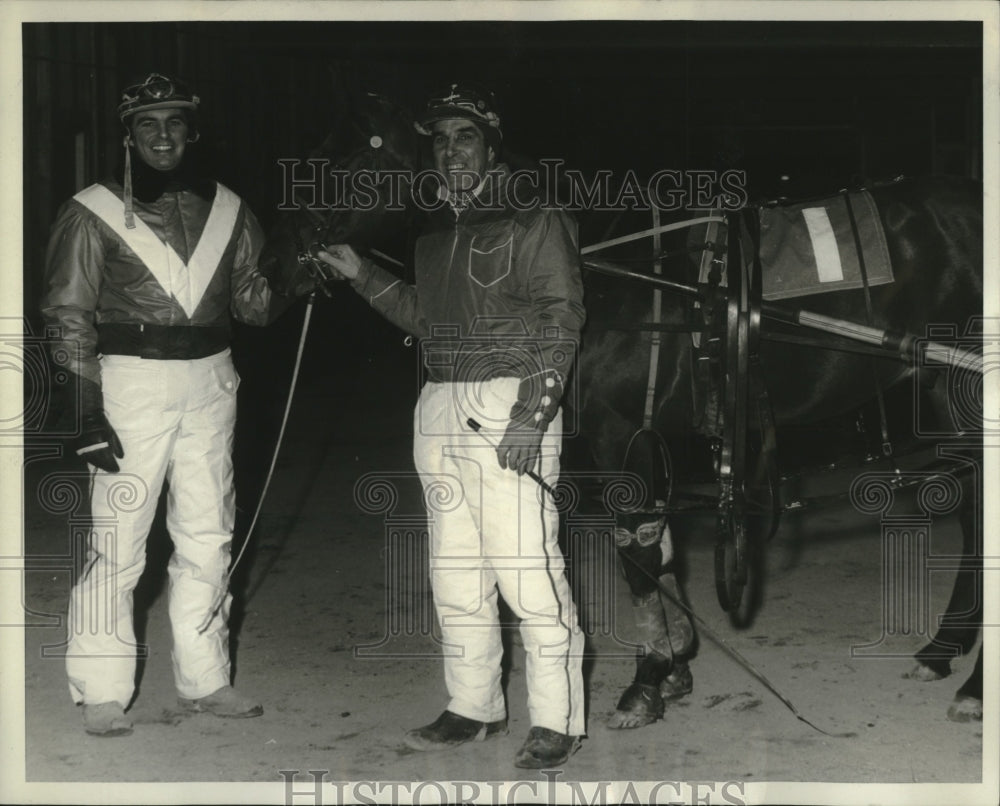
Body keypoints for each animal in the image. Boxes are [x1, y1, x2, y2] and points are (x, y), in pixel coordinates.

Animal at [258, 91, 984, 728]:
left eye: (349, 157)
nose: (270, 265)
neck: (612, 275)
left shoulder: (621, 435)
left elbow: (635, 555)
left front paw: (646, 681)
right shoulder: (651, 440)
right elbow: (658, 551)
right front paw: (676, 661)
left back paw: (972, 684)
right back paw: (944, 650)